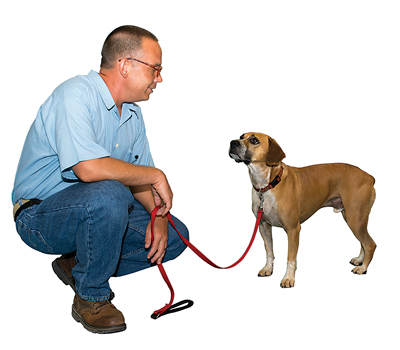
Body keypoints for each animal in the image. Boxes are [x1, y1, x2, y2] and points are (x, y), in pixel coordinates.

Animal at [230, 133, 376, 288]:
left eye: (254, 140)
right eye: (241, 136)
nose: (233, 142)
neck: (268, 184)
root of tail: (369, 177)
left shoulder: (293, 229)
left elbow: (291, 258)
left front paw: (288, 278)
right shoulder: (264, 226)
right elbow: (269, 251)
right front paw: (268, 269)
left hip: (355, 218)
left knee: (370, 244)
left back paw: (363, 268)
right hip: (353, 218)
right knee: (363, 242)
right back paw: (359, 260)